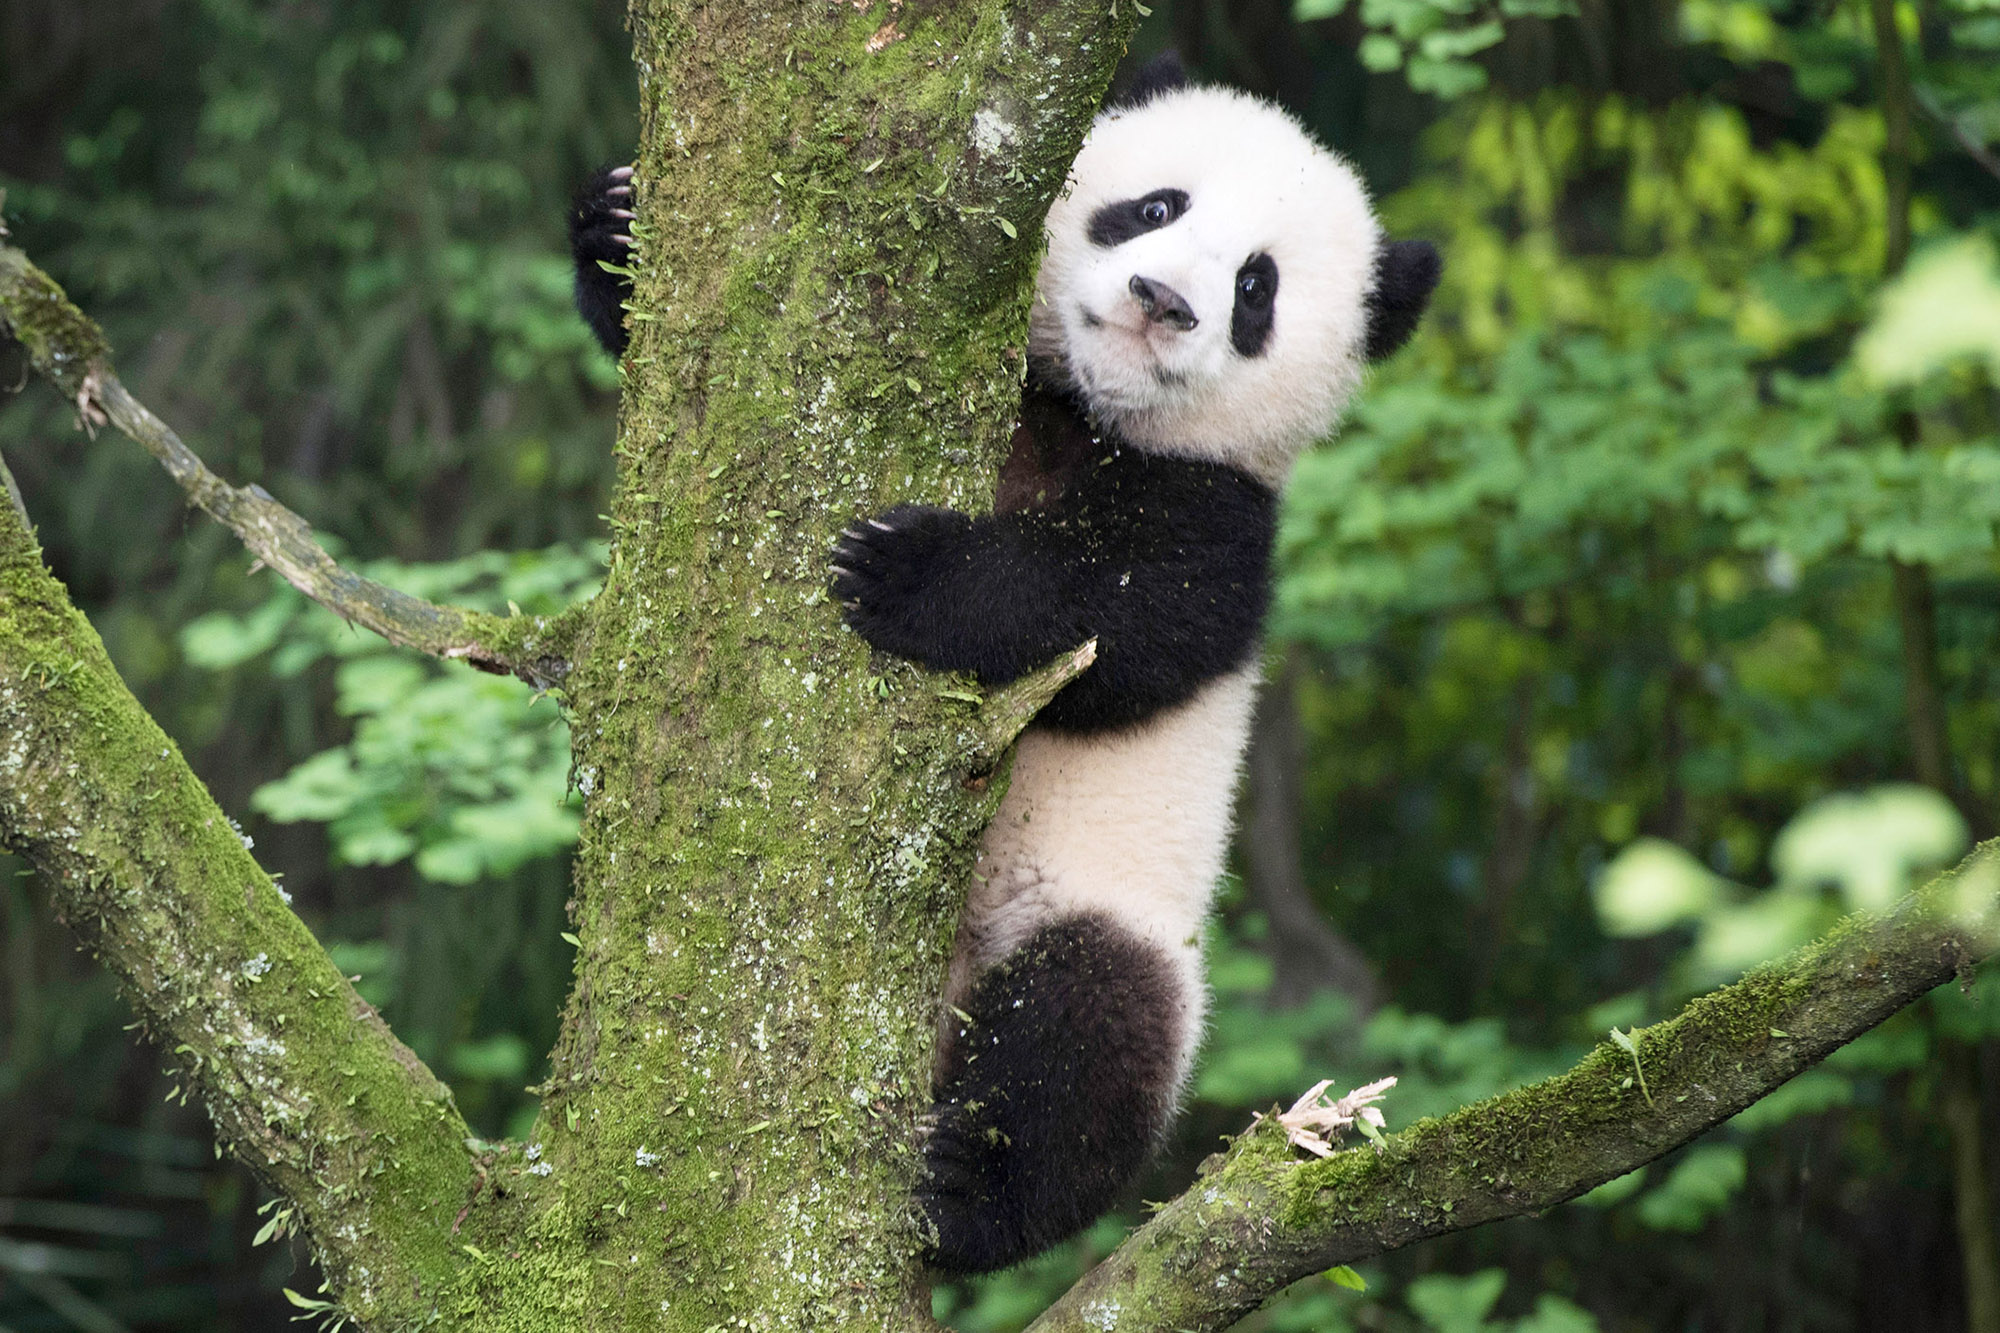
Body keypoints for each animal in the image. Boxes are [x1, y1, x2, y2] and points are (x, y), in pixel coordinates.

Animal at [570, 54, 1438, 1275]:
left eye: (1255, 290)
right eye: (1155, 208)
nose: (1162, 301)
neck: (1080, 406)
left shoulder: (1224, 519)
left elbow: (1128, 618)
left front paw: (905, 573)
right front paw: (615, 222)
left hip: (1098, 918)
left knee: (1086, 1035)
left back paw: (965, 1190)